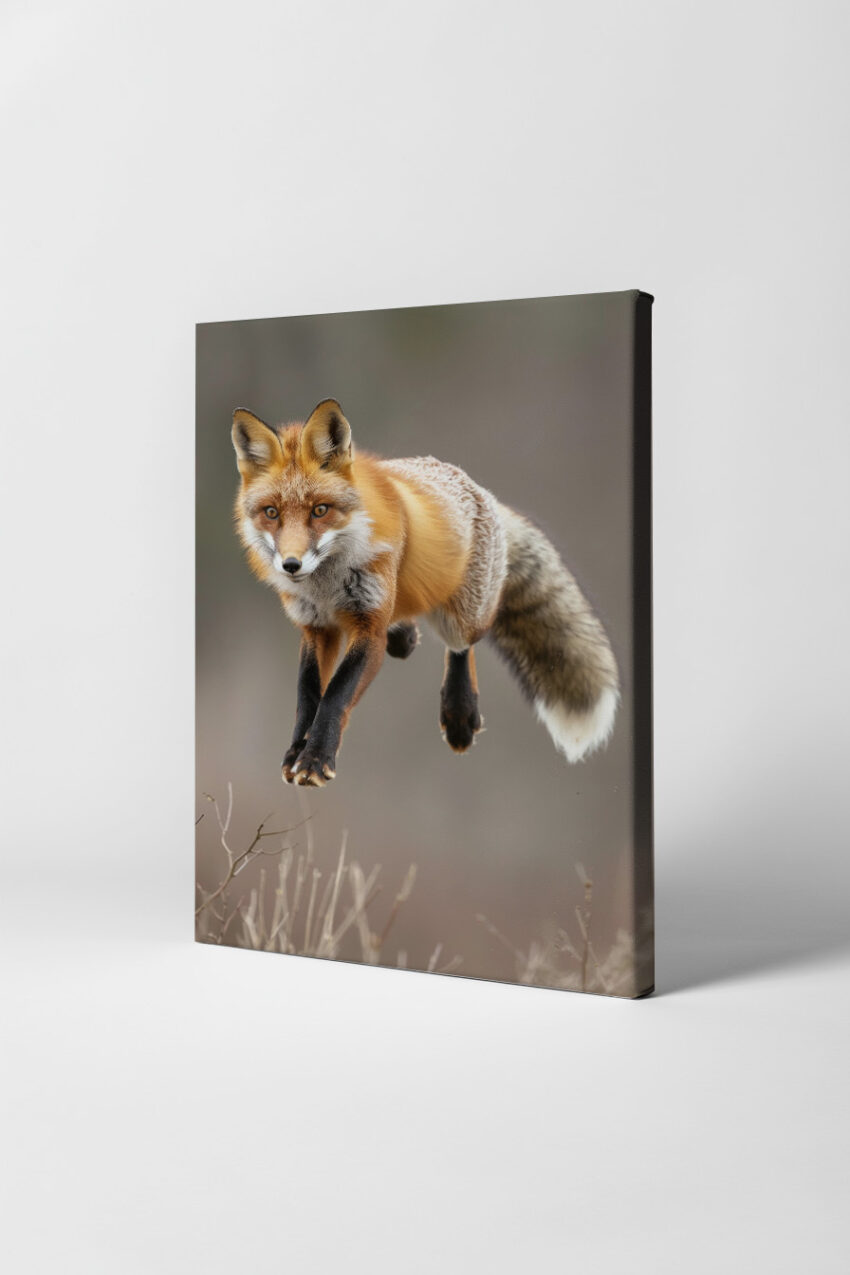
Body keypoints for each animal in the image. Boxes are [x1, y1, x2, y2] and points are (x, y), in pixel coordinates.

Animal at [231, 399, 620, 788]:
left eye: (320, 510)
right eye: (271, 513)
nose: (291, 565)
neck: (327, 585)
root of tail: (478, 487)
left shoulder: (368, 627)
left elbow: (335, 696)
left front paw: (315, 759)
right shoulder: (316, 628)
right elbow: (308, 696)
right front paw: (296, 752)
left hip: (464, 617)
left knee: (462, 645)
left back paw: (459, 713)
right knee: (409, 633)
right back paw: (407, 637)